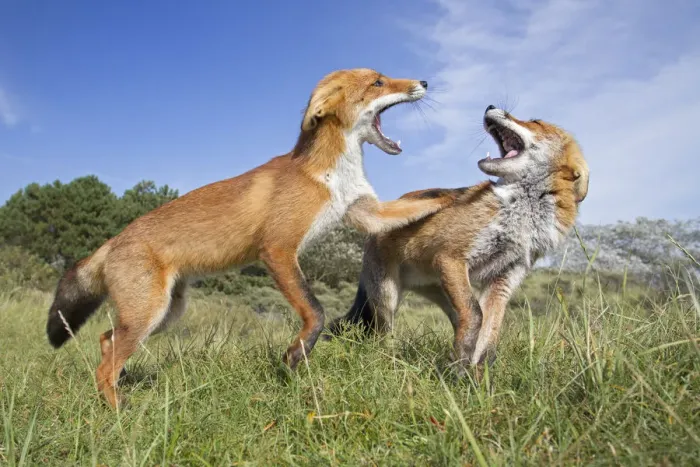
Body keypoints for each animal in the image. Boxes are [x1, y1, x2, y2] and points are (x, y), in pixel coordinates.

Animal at [45, 68, 457, 408]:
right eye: (378, 82)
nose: (424, 81)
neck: (328, 174)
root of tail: (112, 241)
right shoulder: (277, 248)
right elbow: (316, 311)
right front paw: (295, 355)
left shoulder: (364, 212)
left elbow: (422, 205)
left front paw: (458, 196)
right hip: (149, 313)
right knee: (105, 365)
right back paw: (118, 413)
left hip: (163, 314)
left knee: (106, 341)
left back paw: (121, 387)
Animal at [327, 105, 589, 370]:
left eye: (535, 122)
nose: (490, 106)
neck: (521, 216)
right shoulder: (451, 257)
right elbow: (475, 315)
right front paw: (459, 368)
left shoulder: (504, 279)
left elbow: (489, 335)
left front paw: (478, 375)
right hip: (388, 299)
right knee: (383, 337)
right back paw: (390, 362)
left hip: (443, 291)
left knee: (457, 319)